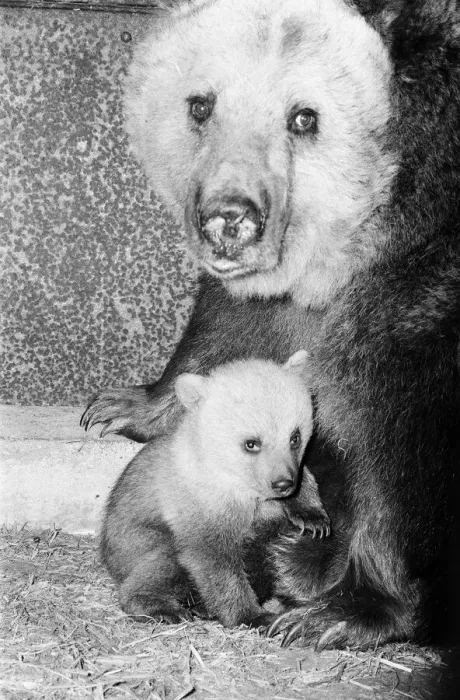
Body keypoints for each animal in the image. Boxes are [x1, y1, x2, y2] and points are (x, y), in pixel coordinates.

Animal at [101, 351, 330, 628]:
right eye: (251, 443)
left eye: (294, 437)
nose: (283, 483)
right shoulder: (200, 502)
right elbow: (214, 560)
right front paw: (252, 614)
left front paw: (312, 519)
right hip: (134, 540)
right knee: (161, 561)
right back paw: (165, 608)